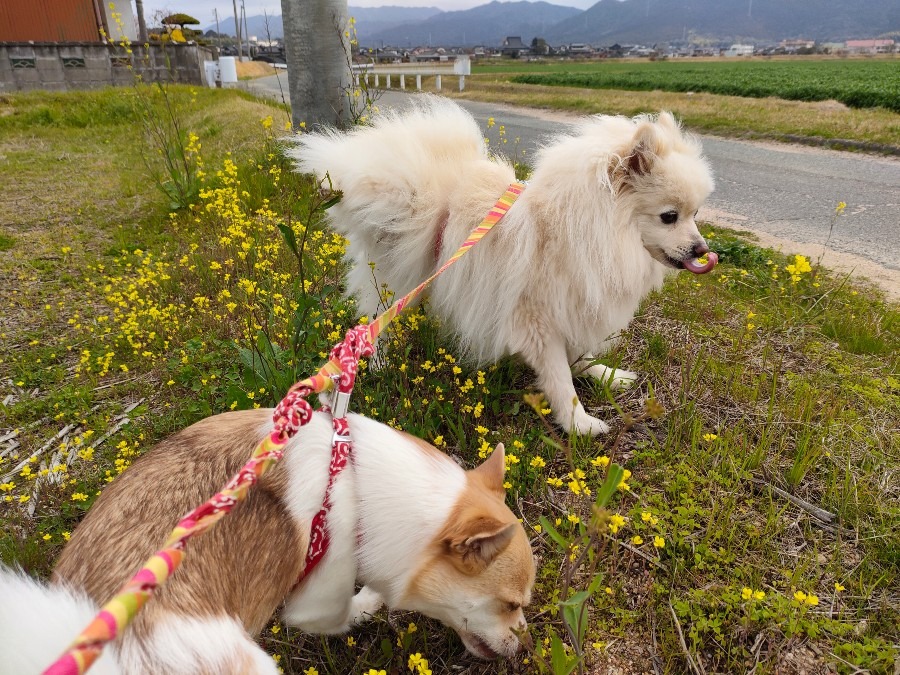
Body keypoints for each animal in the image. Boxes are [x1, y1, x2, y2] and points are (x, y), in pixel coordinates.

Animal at [0, 410, 536, 672]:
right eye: (511, 605)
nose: (528, 648)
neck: (353, 480)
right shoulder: (316, 602)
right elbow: (347, 609)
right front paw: (370, 603)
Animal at [294, 96, 716, 434]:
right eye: (669, 217)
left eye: (695, 214)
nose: (703, 250)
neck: (584, 229)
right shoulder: (536, 319)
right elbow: (560, 378)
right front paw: (579, 423)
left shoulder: (574, 304)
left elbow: (579, 358)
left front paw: (605, 375)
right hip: (397, 278)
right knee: (373, 317)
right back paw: (375, 361)